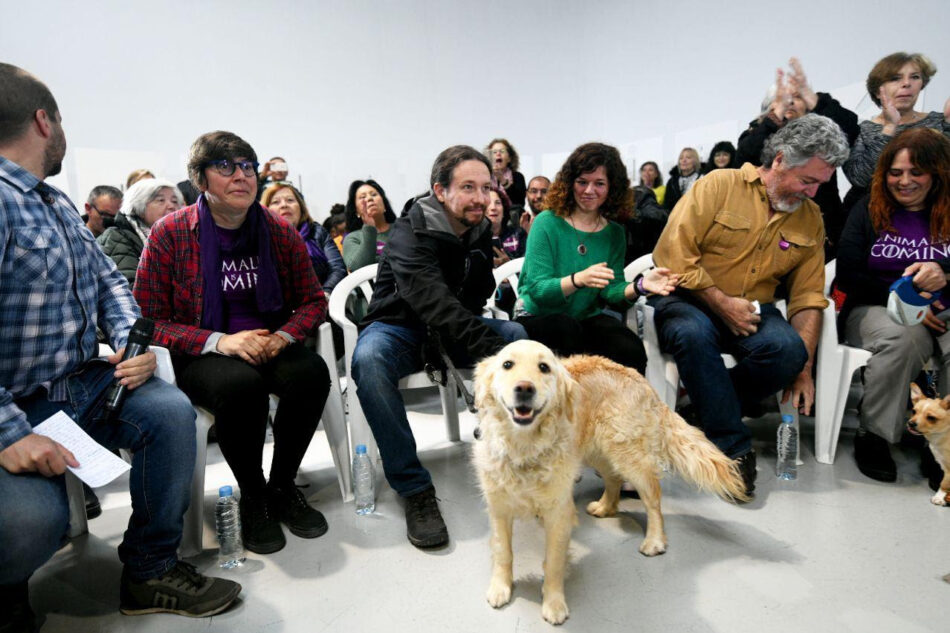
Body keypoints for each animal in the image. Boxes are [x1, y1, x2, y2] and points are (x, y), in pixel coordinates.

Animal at [472, 338, 748, 624]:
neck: (523, 447)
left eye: (544, 367)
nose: (524, 388)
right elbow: (503, 551)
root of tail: (643, 382)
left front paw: (554, 603)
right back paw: (605, 507)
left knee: (653, 498)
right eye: (507, 364)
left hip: (628, 455)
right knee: (614, 479)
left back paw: (655, 541)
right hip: (599, 450)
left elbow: (554, 561)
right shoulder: (499, 508)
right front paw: (500, 588)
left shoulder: (558, 513)